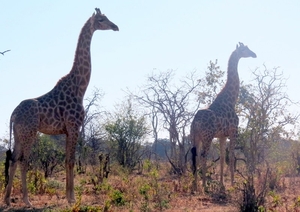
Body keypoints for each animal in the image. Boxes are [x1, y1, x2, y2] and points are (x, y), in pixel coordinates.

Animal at [3, 7, 118, 206]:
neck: (80, 87)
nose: (115, 26)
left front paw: (68, 196)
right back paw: (27, 200)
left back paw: (8, 199)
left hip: (18, 134)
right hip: (30, 132)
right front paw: (72, 198)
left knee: (14, 159)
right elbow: (71, 161)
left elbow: (66, 161)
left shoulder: (66, 130)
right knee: (24, 160)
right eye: (102, 20)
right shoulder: (74, 126)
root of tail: (13, 114)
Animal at [191, 42, 256, 192]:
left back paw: (195, 185)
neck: (231, 100)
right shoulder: (234, 131)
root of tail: (196, 122)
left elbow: (221, 158)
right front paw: (232, 184)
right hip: (207, 136)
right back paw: (204, 186)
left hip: (195, 136)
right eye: (245, 49)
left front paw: (222, 184)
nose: (254, 54)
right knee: (203, 156)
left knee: (195, 156)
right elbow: (231, 157)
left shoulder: (222, 136)